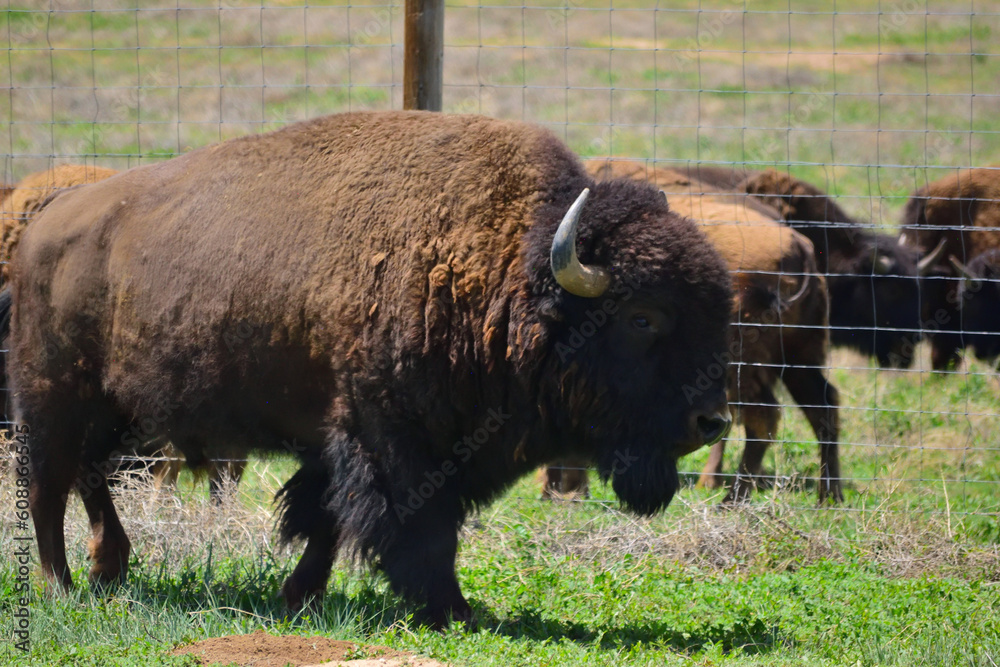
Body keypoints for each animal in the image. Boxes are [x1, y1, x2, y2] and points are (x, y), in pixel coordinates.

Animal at [7, 109, 736, 628]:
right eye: (643, 317)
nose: (711, 420)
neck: (503, 269)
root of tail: (44, 227)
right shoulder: (388, 436)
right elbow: (414, 527)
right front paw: (452, 610)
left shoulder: (366, 442)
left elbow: (327, 519)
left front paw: (298, 596)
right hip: (53, 398)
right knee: (48, 486)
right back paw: (61, 586)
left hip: (119, 410)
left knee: (89, 476)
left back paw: (109, 570)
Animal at [544, 162, 840, 504]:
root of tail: (799, 250)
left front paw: (563, 490)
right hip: (799, 356)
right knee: (822, 407)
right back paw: (829, 496)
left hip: (746, 366)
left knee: (762, 417)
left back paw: (731, 499)